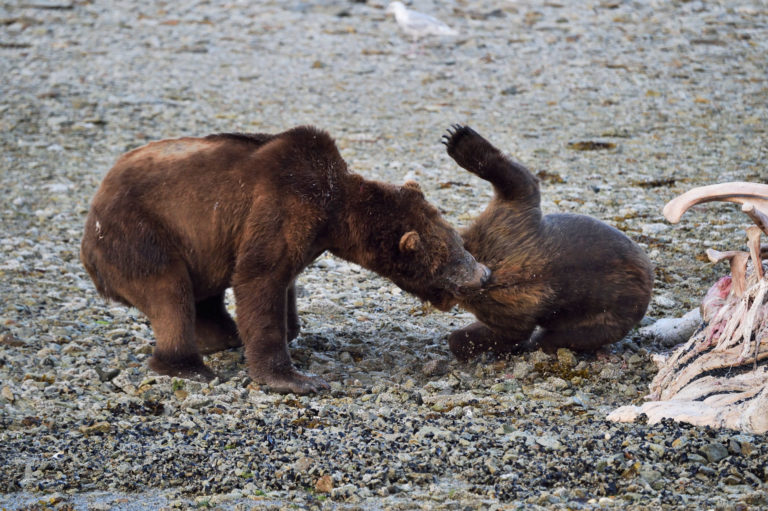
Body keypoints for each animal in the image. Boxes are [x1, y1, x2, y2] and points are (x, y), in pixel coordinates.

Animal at [81, 125, 490, 394]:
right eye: (449, 262)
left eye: (460, 242)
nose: (483, 275)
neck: (334, 209)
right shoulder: (282, 204)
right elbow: (259, 278)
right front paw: (296, 379)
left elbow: (286, 280)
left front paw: (290, 327)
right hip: (137, 234)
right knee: (169, 292)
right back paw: (189, 367)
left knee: (203, 294)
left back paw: (224, 336)